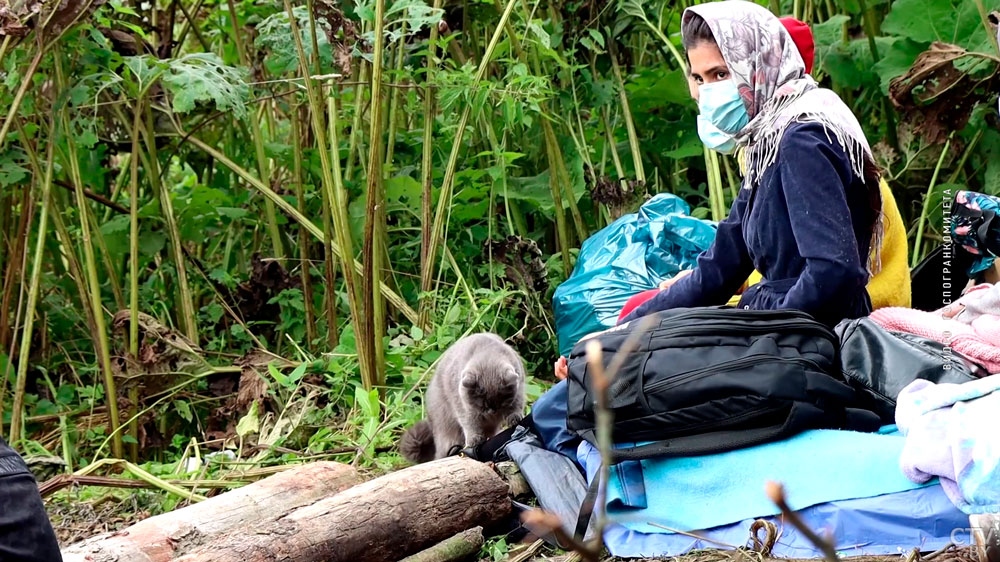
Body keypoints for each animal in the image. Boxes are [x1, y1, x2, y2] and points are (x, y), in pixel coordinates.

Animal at [398, 330, 528, 462]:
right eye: (482, 403)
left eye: (501, 402)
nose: (492, 411)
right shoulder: (464, 407)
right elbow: (469, 422)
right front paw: (474, 439)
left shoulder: (519, 390)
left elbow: (516, 406)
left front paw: (514, 418)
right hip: (446, 432)